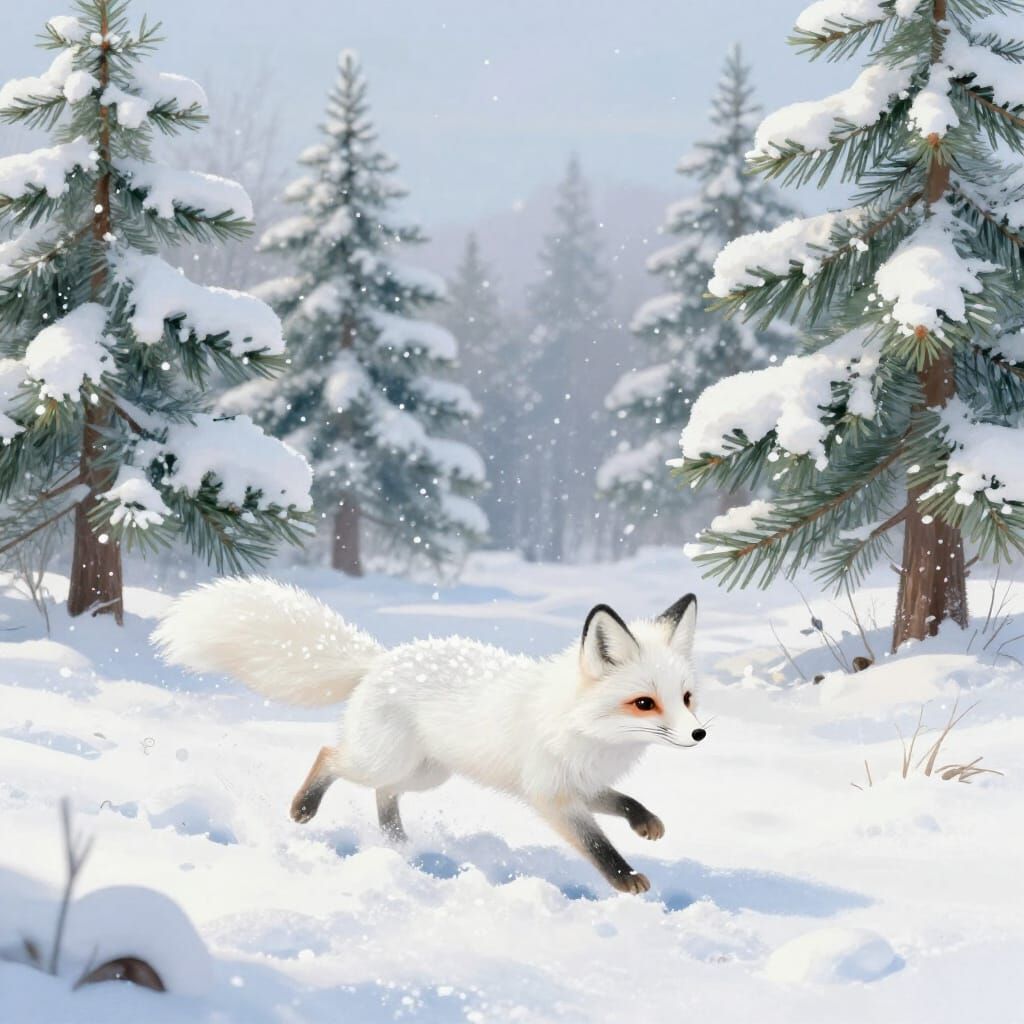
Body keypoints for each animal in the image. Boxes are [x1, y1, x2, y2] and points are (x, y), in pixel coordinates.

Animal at [153, 577, 706, 894]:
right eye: (644, 703)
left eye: (685, 697)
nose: (700, 734)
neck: (582, 728)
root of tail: (380, 660)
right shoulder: (552, 796)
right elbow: (597, 845)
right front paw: (625, 878)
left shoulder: (580, 786)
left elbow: (624, 801)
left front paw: (646, 823)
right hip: (385, 760)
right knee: (331, 754)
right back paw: (305, 807)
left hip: (425, 775)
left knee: (384, 793)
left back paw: (396, 842)